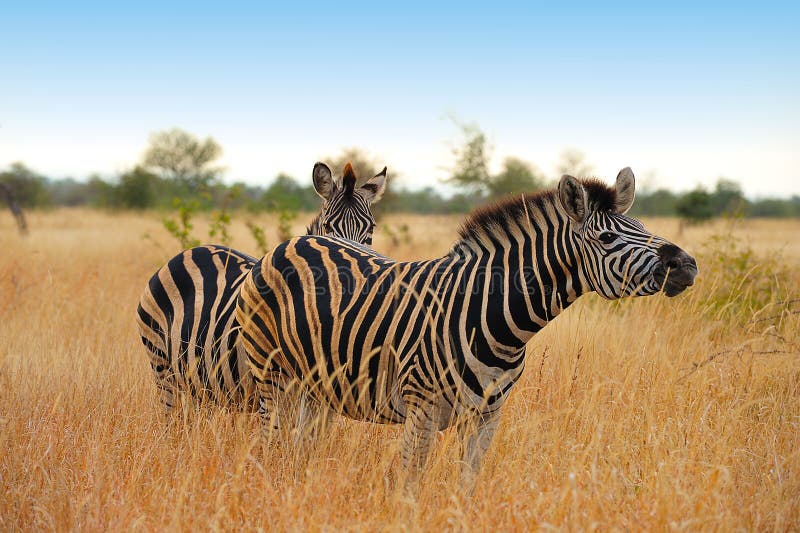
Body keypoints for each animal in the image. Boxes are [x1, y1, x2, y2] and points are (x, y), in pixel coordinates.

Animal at [234, 166, 696, 490]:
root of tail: (292, 241)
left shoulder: (487, 416)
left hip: (313, 387)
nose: (685, 265)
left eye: (643, 229)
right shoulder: (421, 411)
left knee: (300, 448)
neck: (494, 319)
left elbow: (467, 485)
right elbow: (409, 487)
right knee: (270, 445)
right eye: (605, 239)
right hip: (271, 377)